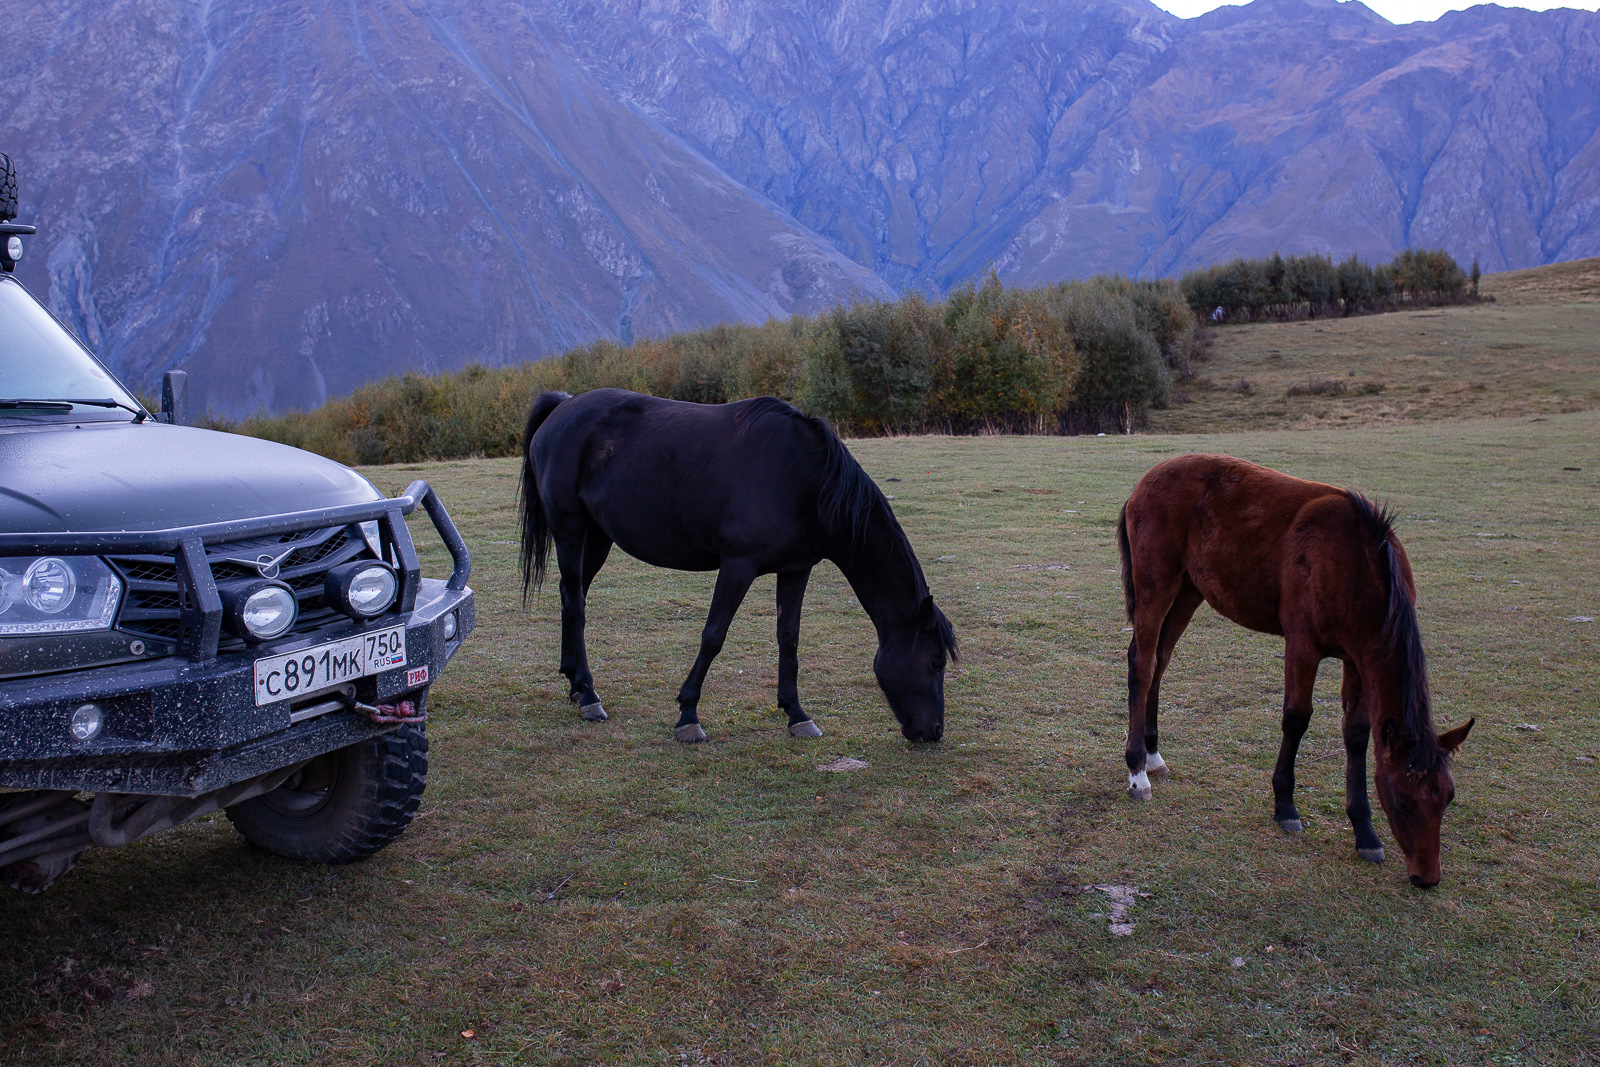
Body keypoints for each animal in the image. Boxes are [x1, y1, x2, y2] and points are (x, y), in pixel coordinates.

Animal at [518, 390, 953, 742]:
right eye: (935, 663)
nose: (933, 731)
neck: (804, 481)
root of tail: (564, 405)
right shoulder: (737, 566)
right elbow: (713, 636)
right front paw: (688, 715)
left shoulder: (796, 569)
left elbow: (788, 638)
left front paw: (797, 714)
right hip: (570, 529)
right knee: (575, 603)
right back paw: (589, 695)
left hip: (596, 537)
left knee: (570, 594)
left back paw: (574, 684)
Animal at [1113, 454, 1472, 889]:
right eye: (1403, 800)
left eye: (1448, 797)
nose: (1427, 876)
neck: (1356, 563)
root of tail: (1143, 483)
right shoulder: (1302, 645)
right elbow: (1296, 719)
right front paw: (1285, 805)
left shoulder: (1358, 657)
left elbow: (1356, 734)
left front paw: (1365, 833)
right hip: (1157, 586)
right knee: (1142, 663)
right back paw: (1137, 771)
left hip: (1188, 590)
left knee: (1160, 661)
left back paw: (1153, 755)